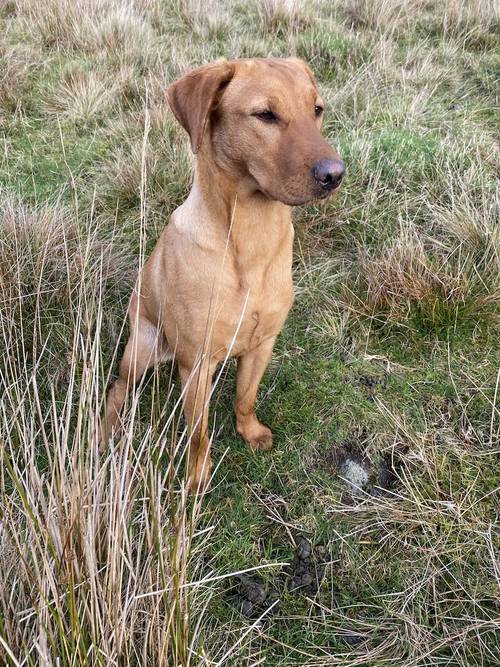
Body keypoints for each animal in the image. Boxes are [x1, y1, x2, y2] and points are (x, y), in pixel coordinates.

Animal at [101, 58, 344, 490]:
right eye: (265, 115)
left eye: (317, 110)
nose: (335, 174)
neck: (250, 238)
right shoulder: (197, 365)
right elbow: (198, 432)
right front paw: (197, 475)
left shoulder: (263, 343)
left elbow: (245, 398)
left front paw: (250, 431)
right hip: (142, 346)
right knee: (119, 386)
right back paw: (105, 427)